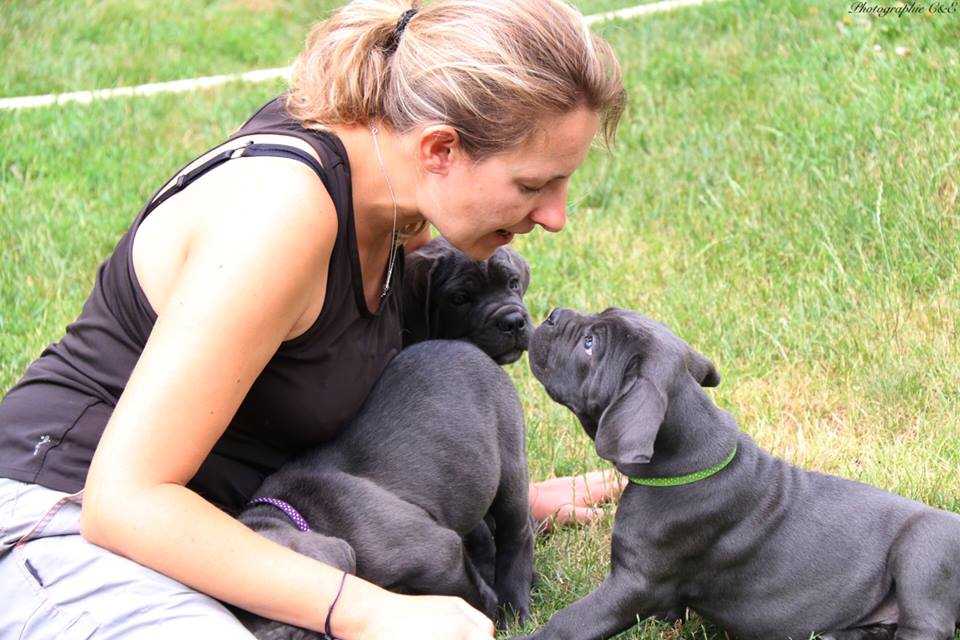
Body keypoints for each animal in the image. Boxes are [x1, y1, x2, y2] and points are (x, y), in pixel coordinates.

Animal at [232, 241, 532, 640]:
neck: (299, 514)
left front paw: (487, 612)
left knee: (517, 533)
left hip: (510, 462)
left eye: (292, 628)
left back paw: (516, 604)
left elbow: (465, 594)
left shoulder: (438, 552)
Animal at [512, 306, 960, 640]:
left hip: (922, 548)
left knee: (925, 626)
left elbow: (568, 623)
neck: (687, 458)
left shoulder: (634, 583)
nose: (553, 314)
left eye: (590, 344)